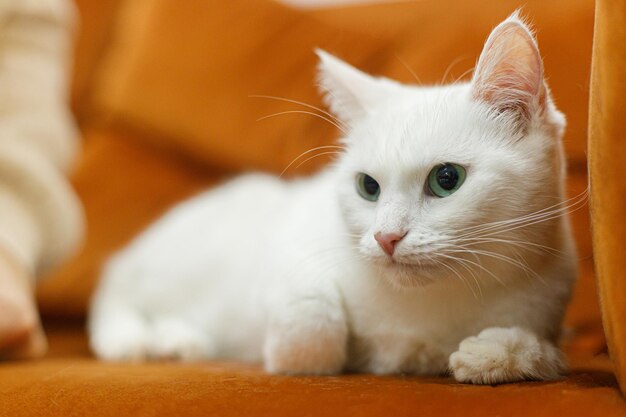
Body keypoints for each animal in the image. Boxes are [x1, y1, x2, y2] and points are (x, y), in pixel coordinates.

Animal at [88, 13, 576, 384]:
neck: (426, 305)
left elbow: (539, 351)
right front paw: (299, 350)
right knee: (115, 289)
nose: (386, 237)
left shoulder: (546, 300)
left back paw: (176, 339)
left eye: (446, 179)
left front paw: (490, 354)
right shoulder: (286, 251)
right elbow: (312, 324)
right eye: (368, 187)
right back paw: (137, 340)